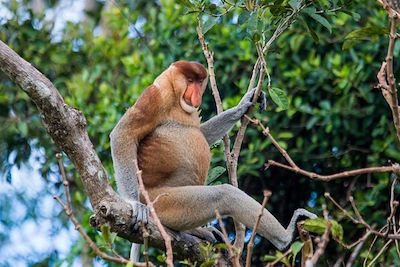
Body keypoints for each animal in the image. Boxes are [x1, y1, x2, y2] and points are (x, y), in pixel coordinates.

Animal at [109, 60, 316, 262]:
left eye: (200, 81)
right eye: (190, 80)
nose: (195, 95)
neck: (175, 96)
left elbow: (202, 134)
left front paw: (243, 104)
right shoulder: (155, 96)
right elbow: (124, 134)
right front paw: (134, 204)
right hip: (161, 202)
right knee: (224, 195)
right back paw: (286, 239)